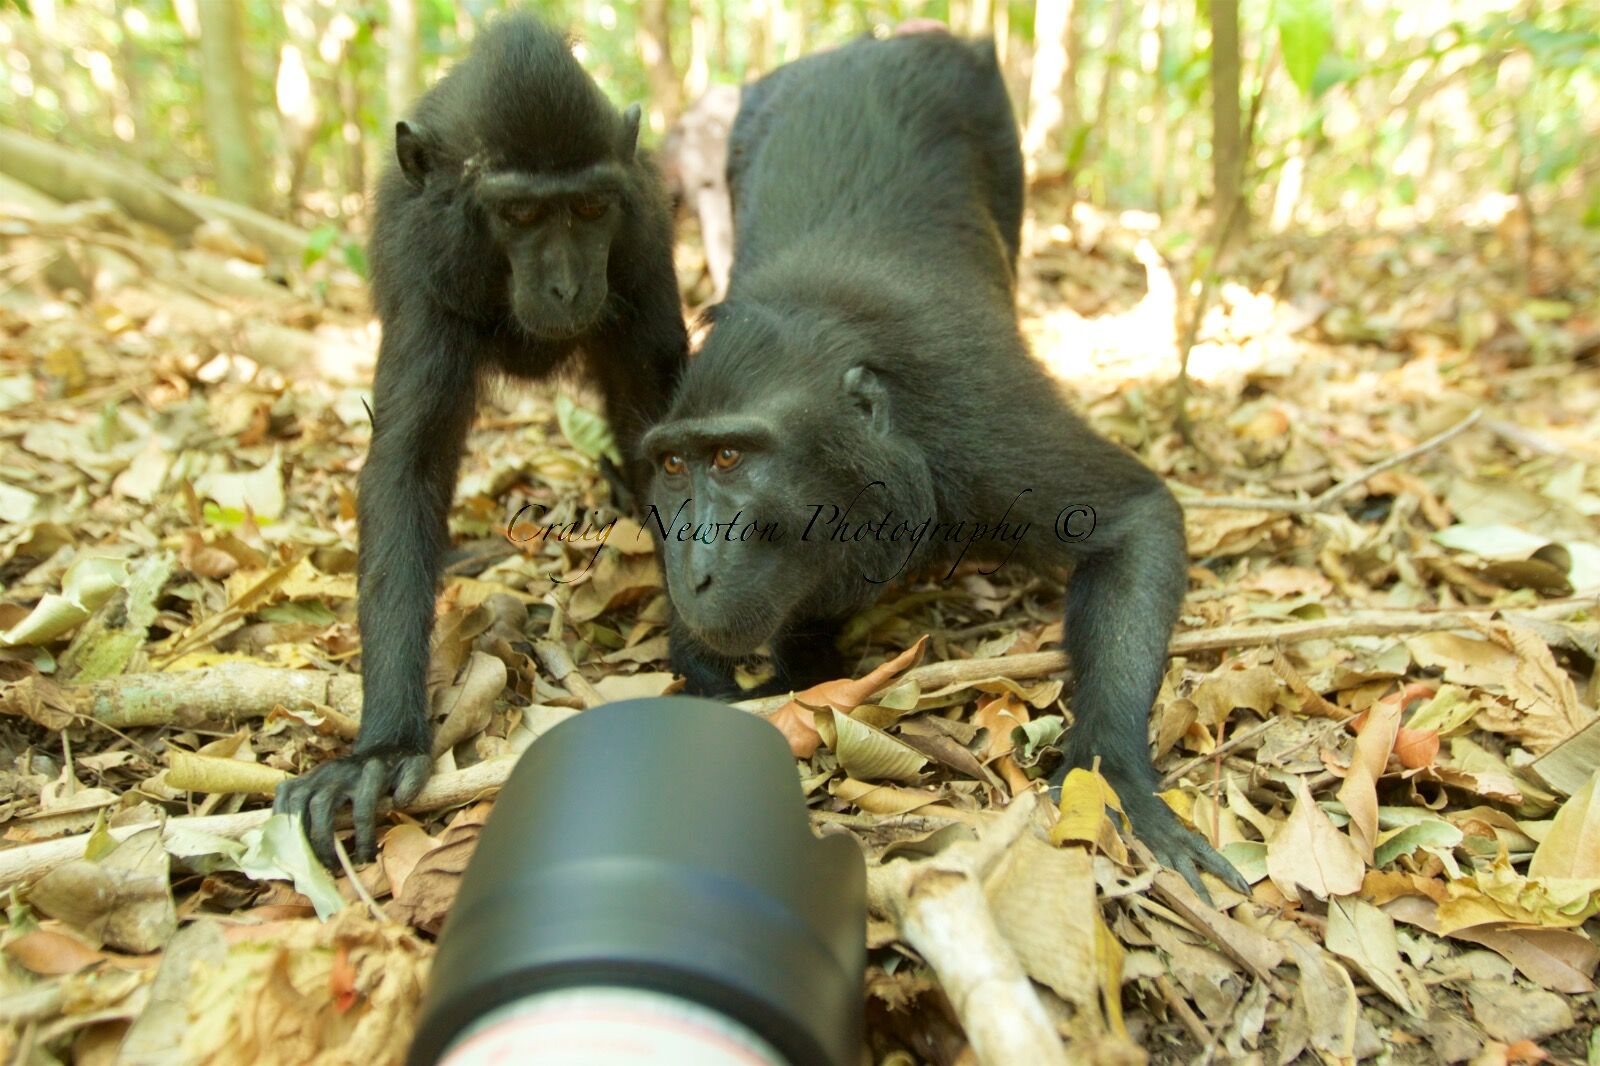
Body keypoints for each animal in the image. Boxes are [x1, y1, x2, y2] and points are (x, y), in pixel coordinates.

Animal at [275, 13, 687, 866]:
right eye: (520, 216)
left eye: (590, 208)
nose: (566, 286)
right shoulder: (422, 267)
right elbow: (408, 462)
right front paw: (381, 751)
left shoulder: (640, 242)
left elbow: (661, 427)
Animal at [641, 32, 1248, 898]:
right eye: (674, 467)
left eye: (728, 457)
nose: (693, 570)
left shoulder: (975, 419)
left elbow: (1136, 518)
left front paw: (1111, 773)